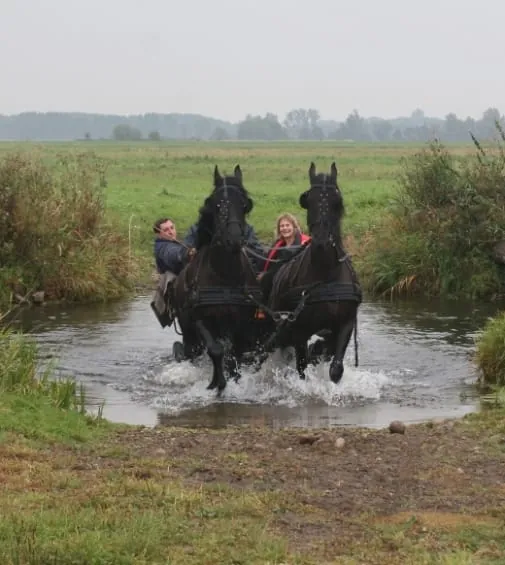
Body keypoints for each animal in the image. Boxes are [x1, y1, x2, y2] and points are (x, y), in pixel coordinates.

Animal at [171, 164, 272, 394]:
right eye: (216, 205)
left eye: (244, 205)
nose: (234, 239)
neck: (225, 275)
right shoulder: (200, 319)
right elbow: (216, 350)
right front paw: (217, 383)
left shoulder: (242, 323)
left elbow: (234, 355)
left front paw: (234, 380)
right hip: (188, 329)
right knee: (191, 351)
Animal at [266, 161, 362, 383]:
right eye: (307, 201)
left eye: (337, 201)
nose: (322, 243)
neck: (326, 274)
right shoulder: (300, 329)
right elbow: (302, 368)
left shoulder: (345, 324)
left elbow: (335, 368)